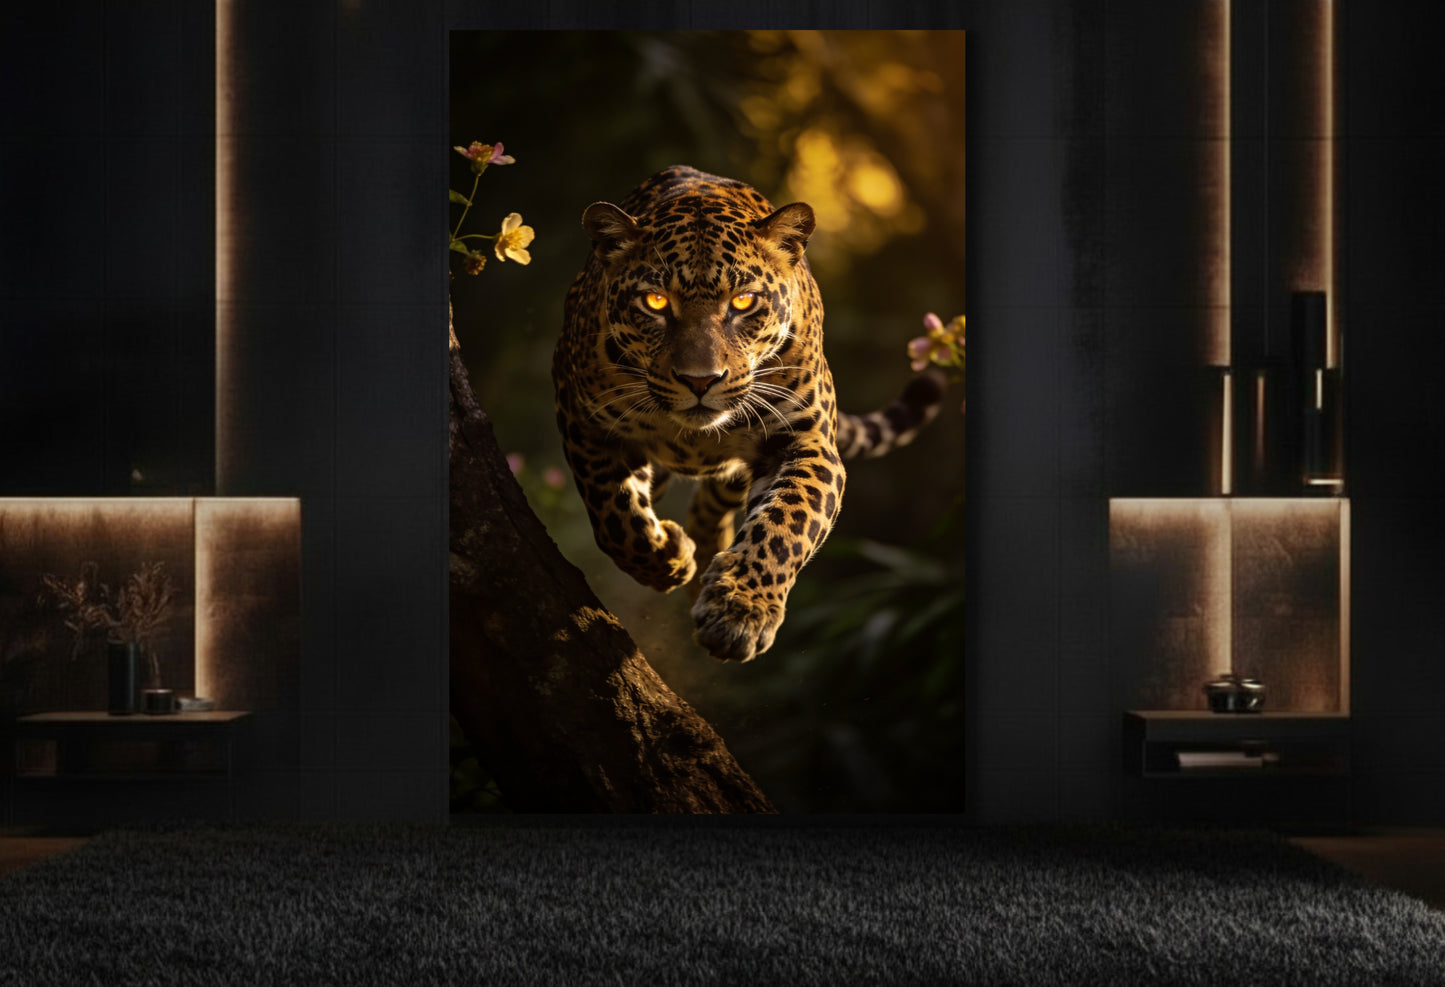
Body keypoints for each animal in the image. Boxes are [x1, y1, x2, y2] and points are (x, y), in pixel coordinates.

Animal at [552, 165, 946, 663]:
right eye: (655, 302)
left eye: (743, 302)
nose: (700, 380)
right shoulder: (583, 417)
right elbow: (614, 513)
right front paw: (666, 559)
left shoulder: (805, 441)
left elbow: (788, 523)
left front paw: (740, 612)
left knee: (712, 501)